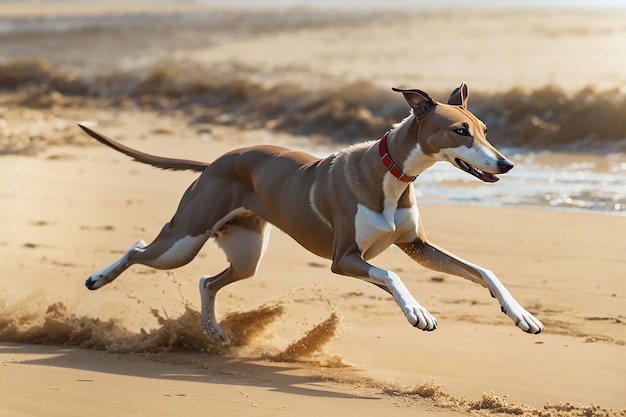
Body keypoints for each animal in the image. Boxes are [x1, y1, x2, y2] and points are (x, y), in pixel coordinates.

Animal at [79, 82, 540, 342]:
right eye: (460, 131)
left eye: (484, 129)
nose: (506, 165)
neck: (391, 173)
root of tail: (214, 162)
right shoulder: (345, 258)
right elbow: (392, 274)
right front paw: (418, 312)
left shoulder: (416, 246)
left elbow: (482, 271)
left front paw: (522, 316)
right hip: (184, 241)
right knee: (141, 248)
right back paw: (98, 278)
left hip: (246, 255)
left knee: (207, 281)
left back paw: (213, 332)